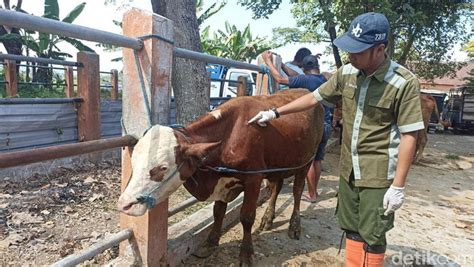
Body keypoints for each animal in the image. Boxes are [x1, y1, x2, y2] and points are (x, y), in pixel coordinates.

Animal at [116, 89, 324, 264]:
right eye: (134, 161)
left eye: (163, 167)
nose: (124, 204)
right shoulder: (223, 182)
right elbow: (218, 212)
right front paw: (210, 242)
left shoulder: (253, 179)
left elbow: (246, 217)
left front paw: (246, 254)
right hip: (280, 164)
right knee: (276, 188)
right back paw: (268, 219)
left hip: (306, 161)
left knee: (297, 192)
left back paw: (294, 226)